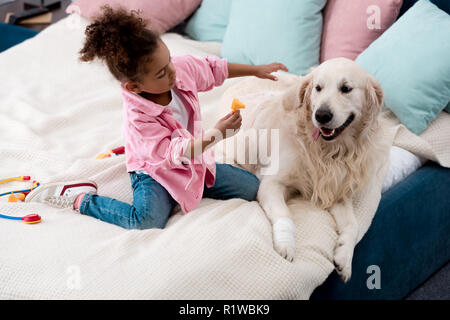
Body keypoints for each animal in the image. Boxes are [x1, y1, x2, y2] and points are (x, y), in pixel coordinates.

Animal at [230, 58, 384, 282]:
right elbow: (284, 214)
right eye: (318, 88)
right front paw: (286, 244)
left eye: (346, 88)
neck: (327, 151)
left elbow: (353, 226)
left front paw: (344, 257)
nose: (321, 115)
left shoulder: (336, 191)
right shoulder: (271, 183)